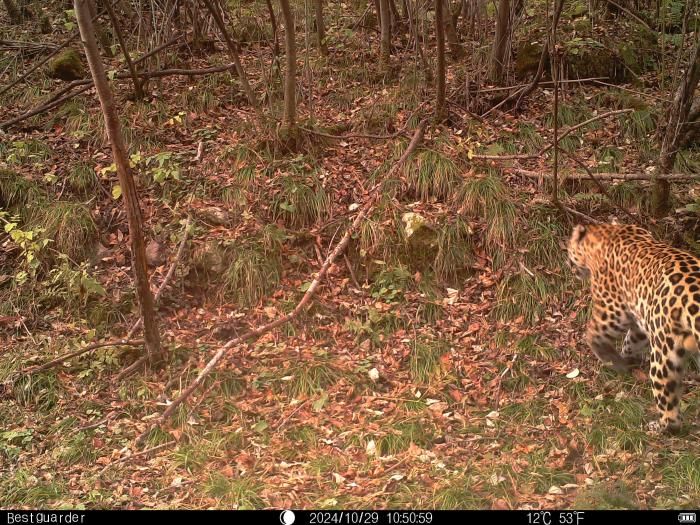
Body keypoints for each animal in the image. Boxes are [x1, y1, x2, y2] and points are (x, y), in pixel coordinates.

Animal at [568, 223, 700, 432]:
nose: (569, 265)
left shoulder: (612, 311)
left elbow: (594, 334)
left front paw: (612, 361)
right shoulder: (640, 317)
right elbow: (631, 341)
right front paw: (629, 360)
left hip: (664, 356)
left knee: (669, 408)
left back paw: (659, 427)